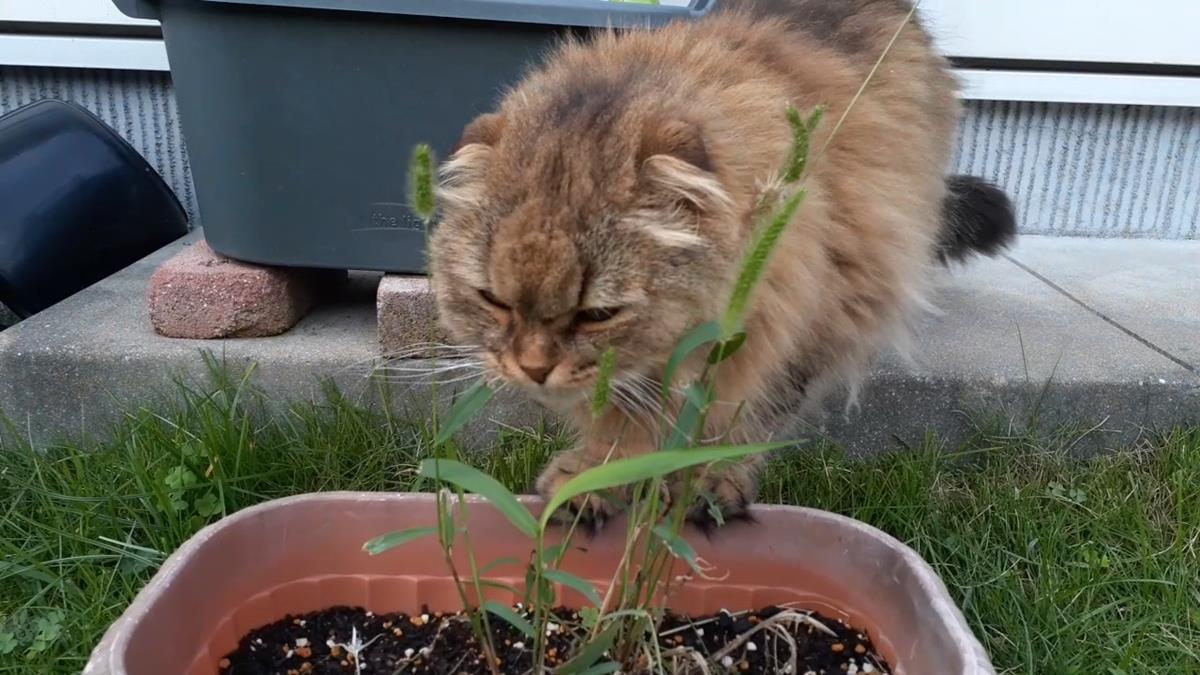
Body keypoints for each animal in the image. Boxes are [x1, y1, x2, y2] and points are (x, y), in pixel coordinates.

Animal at [427, 0, 1017, 526]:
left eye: (597, 315)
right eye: (494, 301)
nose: (532, 369)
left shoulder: (808, 321)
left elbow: (743, 419)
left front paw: (705, 481)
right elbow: (619, 421)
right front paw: (597, 478)